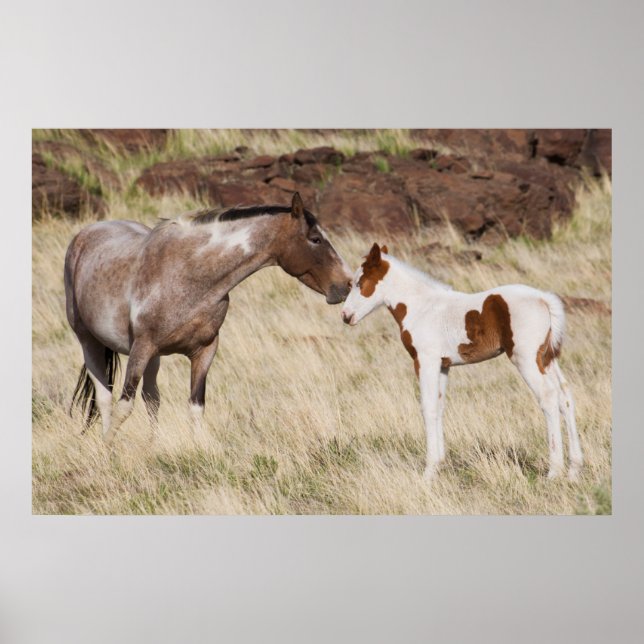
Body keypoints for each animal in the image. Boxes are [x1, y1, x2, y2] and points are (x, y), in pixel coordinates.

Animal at [65, 192, 352, 444]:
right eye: (315, 239)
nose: (347, 284)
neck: (189, 275)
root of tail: (85, 233)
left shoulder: (204, 351)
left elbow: (195, 406)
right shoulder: (141, 348)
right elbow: (124, 406)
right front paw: (107, 450)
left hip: (154, 358)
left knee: (152, 398)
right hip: (89, 341)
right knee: (105, 396)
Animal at [340, 243, 583, 482]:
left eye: (359, 283)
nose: (345, 315)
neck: (420, 307)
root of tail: (543, 298)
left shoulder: (425, 360)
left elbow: (427, 407)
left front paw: (428, 471)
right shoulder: (443, 365)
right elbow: (439, 406)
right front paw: (438, 465)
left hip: (525, 358)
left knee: (548, 397)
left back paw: (554, 472)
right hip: (546, 358)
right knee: (565, 397)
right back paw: (573, 470)